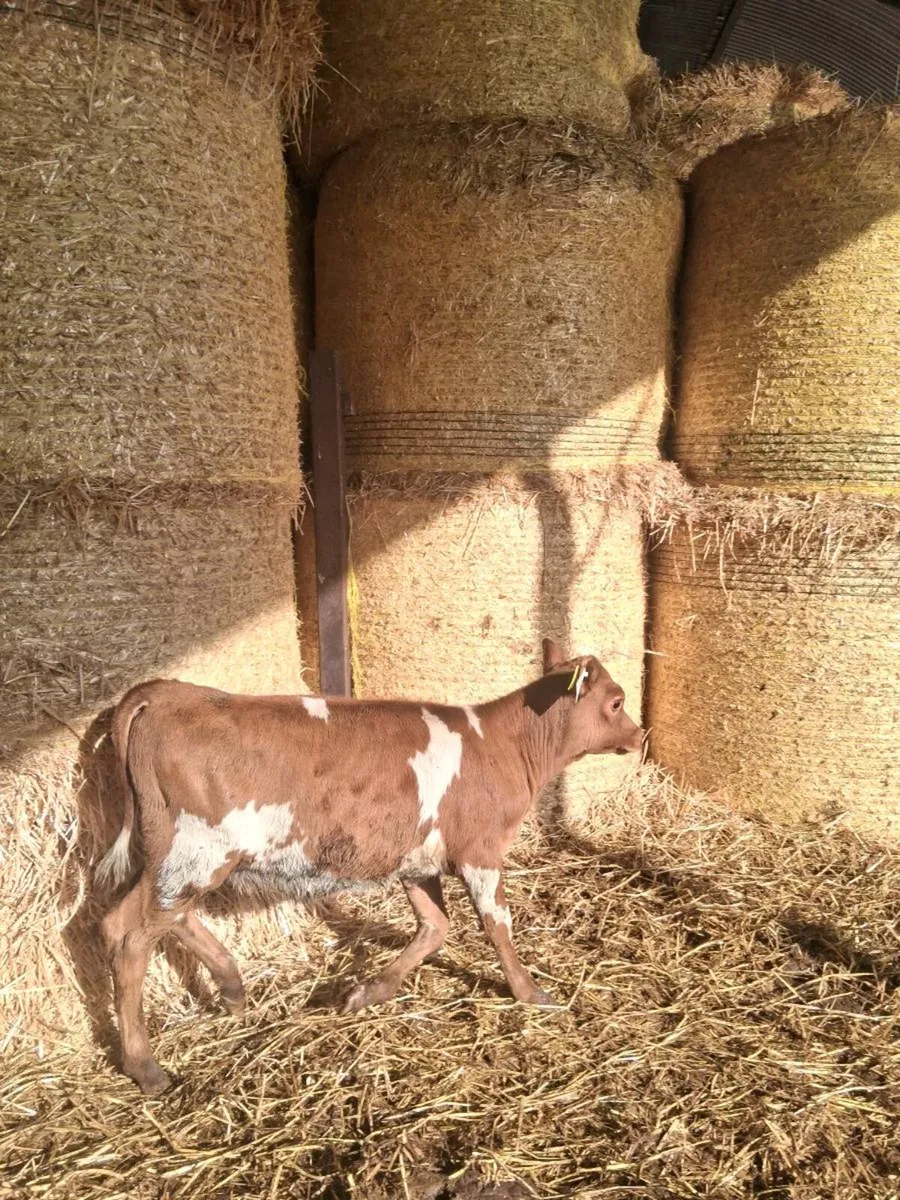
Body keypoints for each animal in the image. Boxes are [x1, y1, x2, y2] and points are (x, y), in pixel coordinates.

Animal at [96, 638, 643, 1094]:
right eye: (616, 701)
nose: (639, 735)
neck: (502, 744)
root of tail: (172, 693)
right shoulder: (481, 851)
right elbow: (497, 927)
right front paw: (530, 992)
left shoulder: (419, 860)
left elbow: (434, 927)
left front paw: (369, 992)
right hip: (197, 851)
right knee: (133, 939)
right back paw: (145, 1067)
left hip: (173, 855)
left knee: (128, 920)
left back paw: (231, 989)